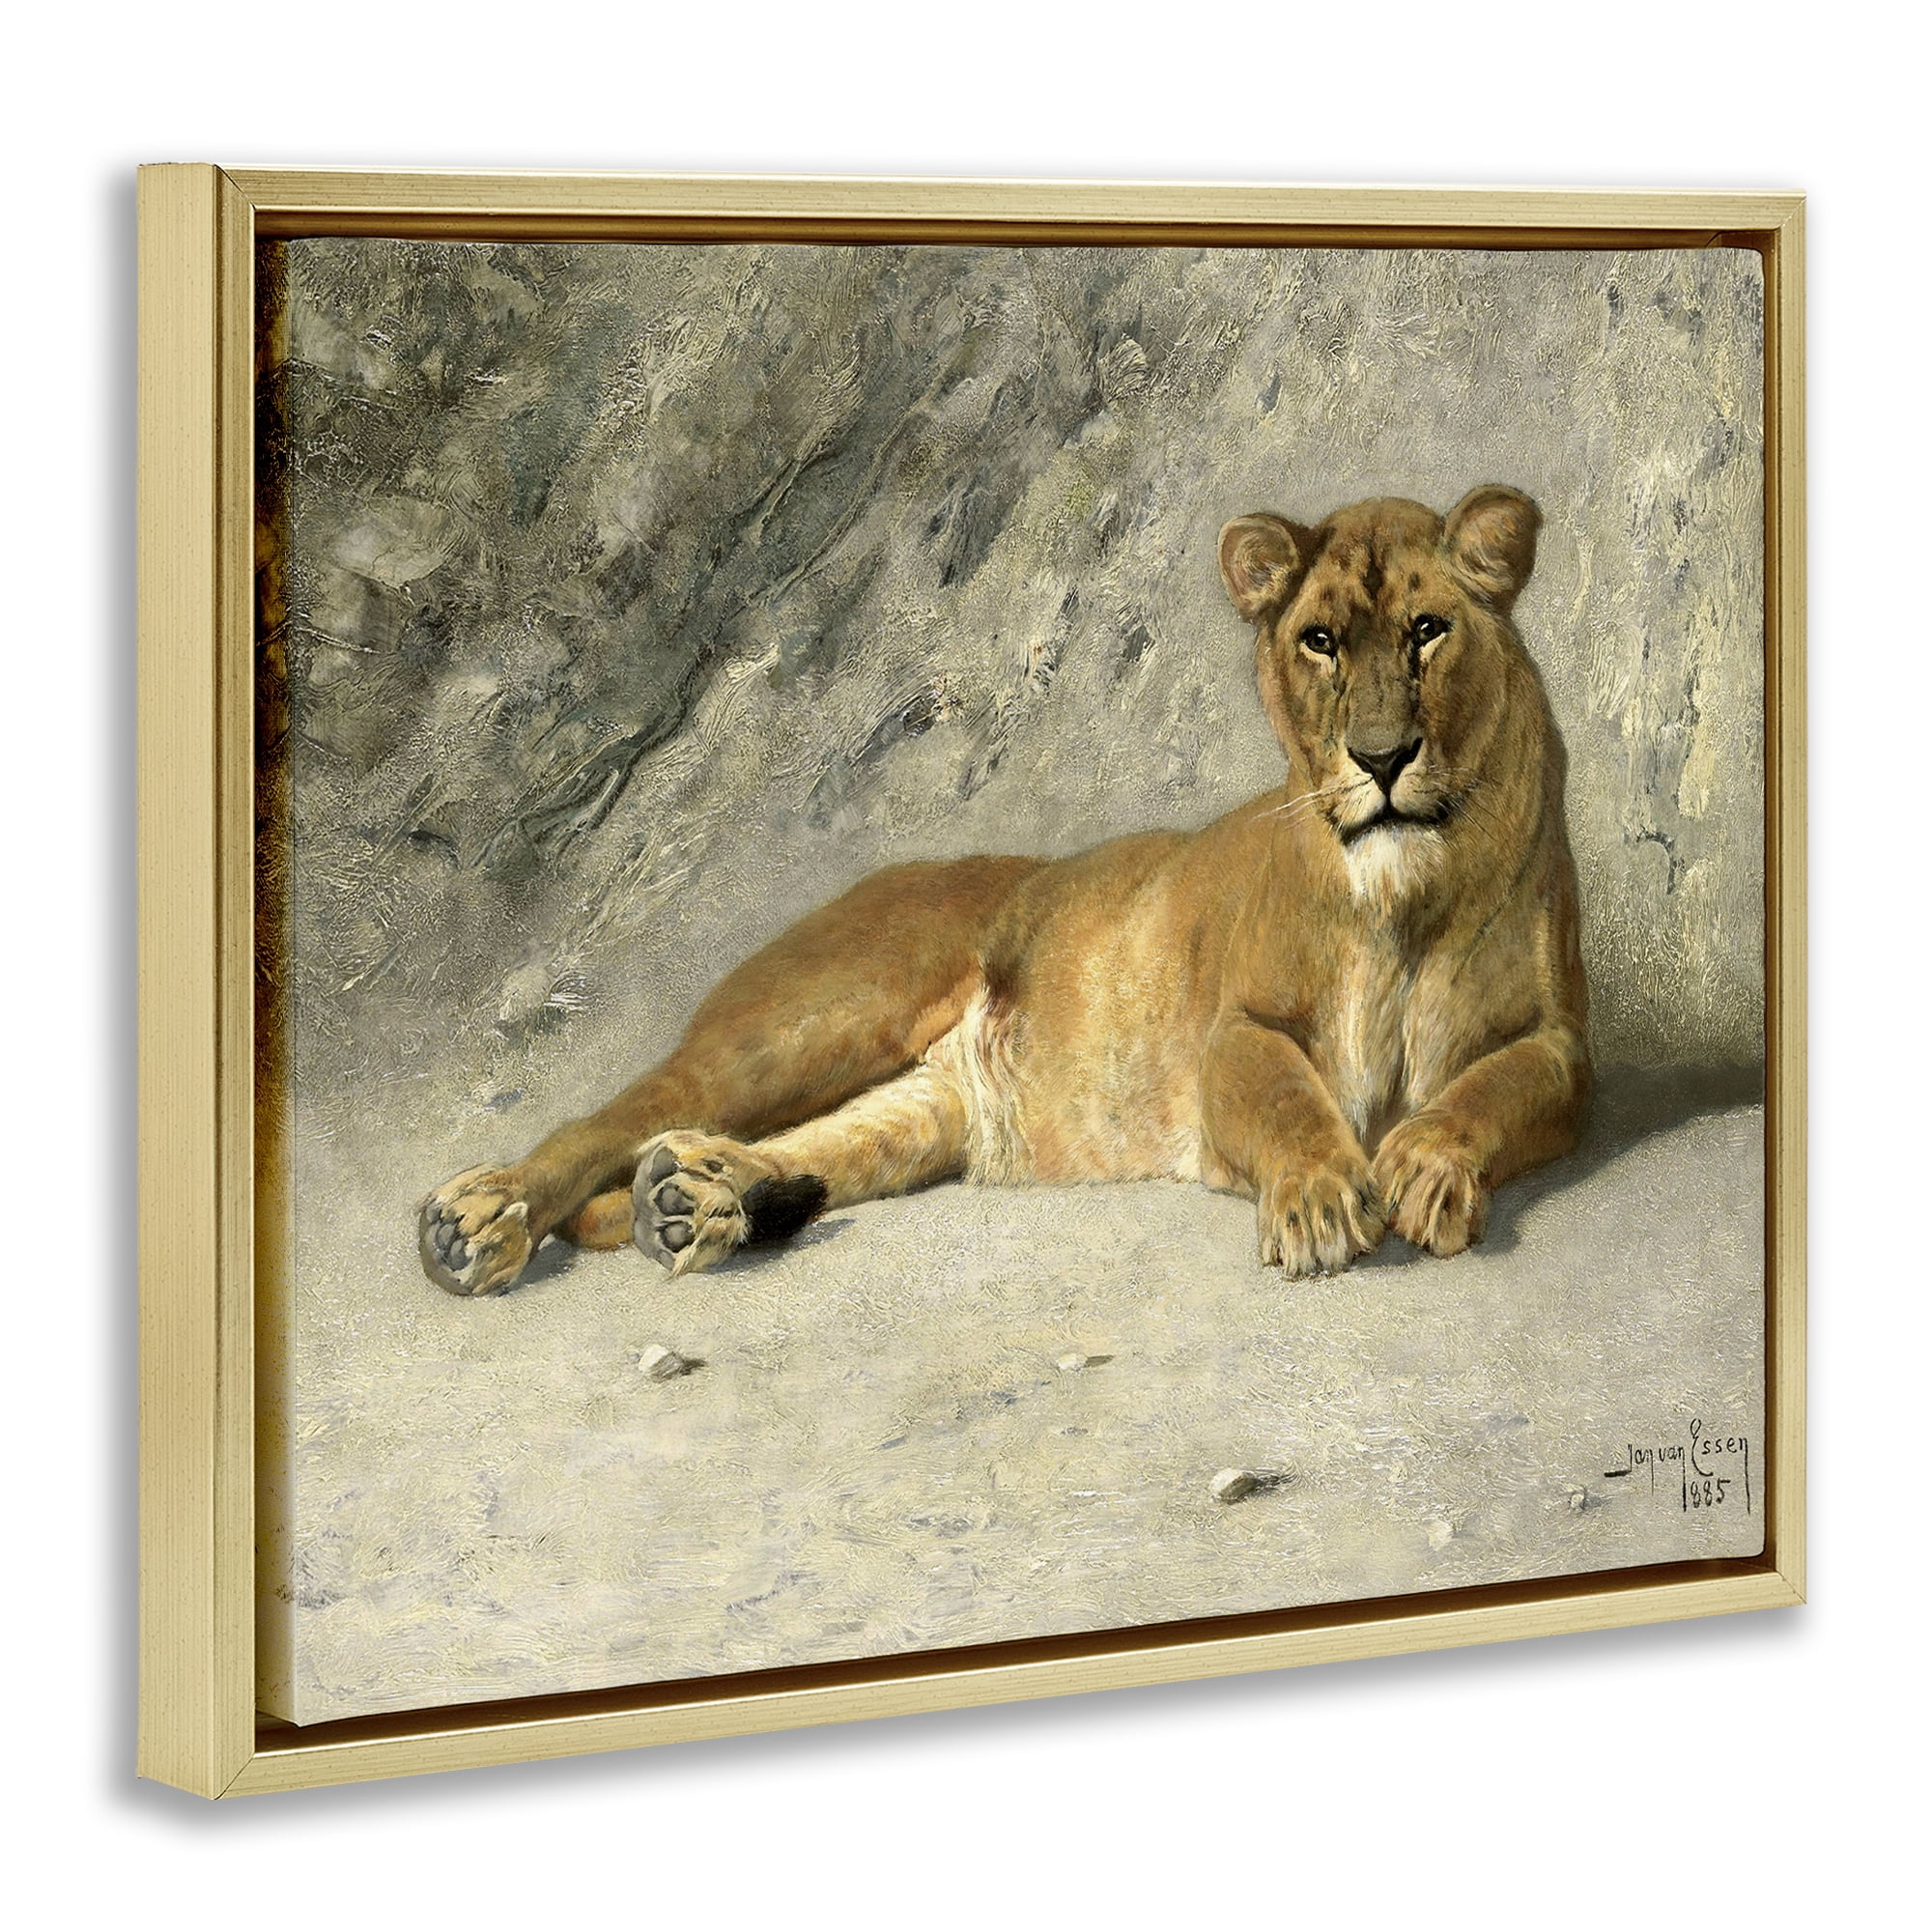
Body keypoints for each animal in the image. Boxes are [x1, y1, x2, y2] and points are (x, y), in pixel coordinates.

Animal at [418, 485, 1590, 1295]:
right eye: (1320, 641)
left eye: (1427, 631)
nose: (1382, 756)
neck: (1402, 897)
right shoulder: (1235, 1028)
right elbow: (1284, 1093)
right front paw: (1312, 1198)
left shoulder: (1560, 1042)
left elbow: (1492, 1089)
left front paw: (1426, 1164)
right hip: (811, 1021)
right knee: (623, 1113)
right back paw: (478, 1221)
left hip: (922, 1110)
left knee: (795, 1153)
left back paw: (692, 1202)